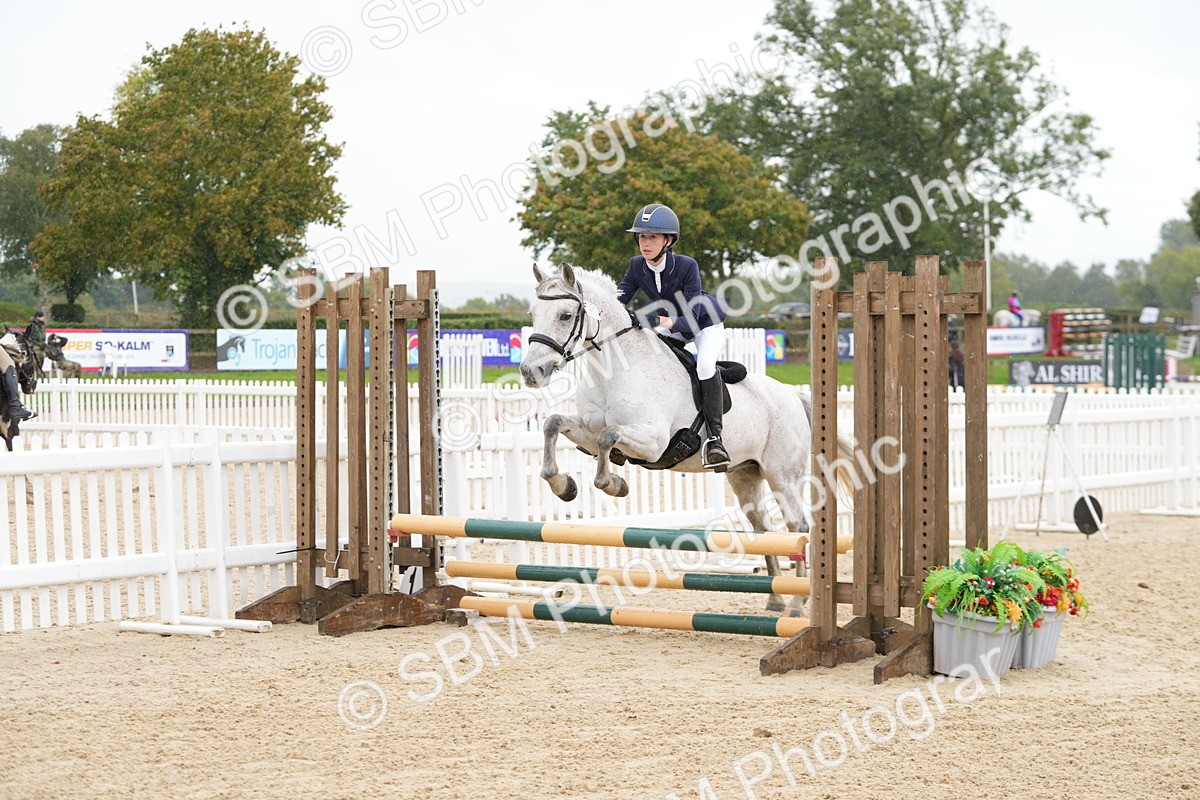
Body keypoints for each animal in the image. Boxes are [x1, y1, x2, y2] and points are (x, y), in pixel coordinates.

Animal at [520, 264, 855, 615]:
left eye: (565, 315)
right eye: (533, 313)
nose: (530, 371)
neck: (612, 372)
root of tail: (792, 394)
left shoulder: (652, 444)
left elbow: (608, 440)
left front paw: (614, 484)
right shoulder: (588, 430)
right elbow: (554, 424)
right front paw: (563, 485)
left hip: (783, 476)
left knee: (797, 527)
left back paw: (797, 603)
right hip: (745, 473)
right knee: (763, 527)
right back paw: (775, 598)